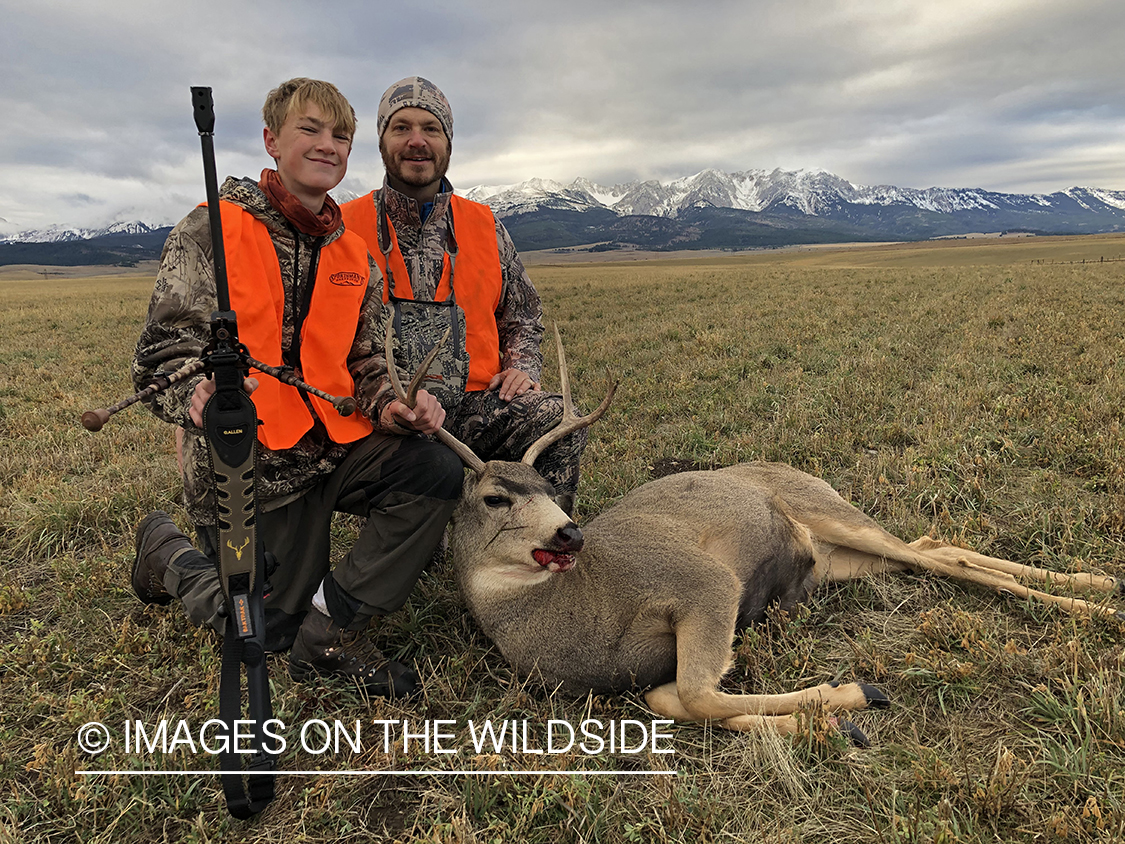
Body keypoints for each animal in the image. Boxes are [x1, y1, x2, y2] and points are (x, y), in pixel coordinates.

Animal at [384, 326, 1116, 738]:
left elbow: (698, 693)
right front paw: (827, 724)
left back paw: (1096, 598)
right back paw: (1095, 582)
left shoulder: (704, 582)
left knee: (944, 560)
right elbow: (672, 700)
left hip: (825, 512)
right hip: (836, 559)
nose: (571, 535)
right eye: (495, 496)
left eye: (546, 486)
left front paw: (850, 694)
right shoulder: (644, 674)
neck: (564, 613)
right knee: (928, 549)